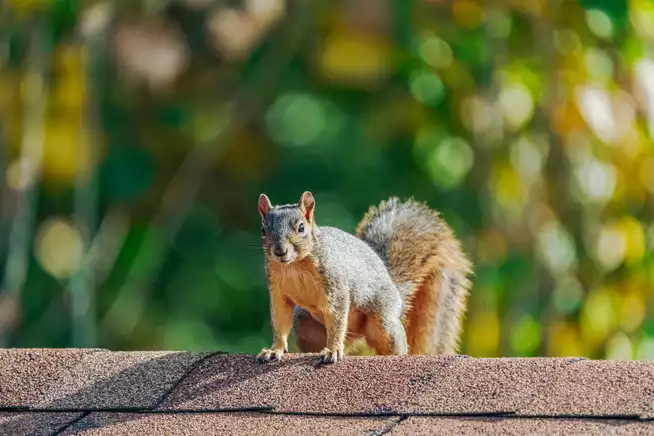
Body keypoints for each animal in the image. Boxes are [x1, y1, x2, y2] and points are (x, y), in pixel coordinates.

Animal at [258, 192, 476, 362]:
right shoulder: (277, 291)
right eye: (263, 230)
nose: (279, 251)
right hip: (306, 326)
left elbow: (337, 317)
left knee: (393, 343)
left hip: (383, 322)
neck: (294, 266)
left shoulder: (336, 283)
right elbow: (279, 321)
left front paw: (333, 350)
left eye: (301, 228)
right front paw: (275, 350)